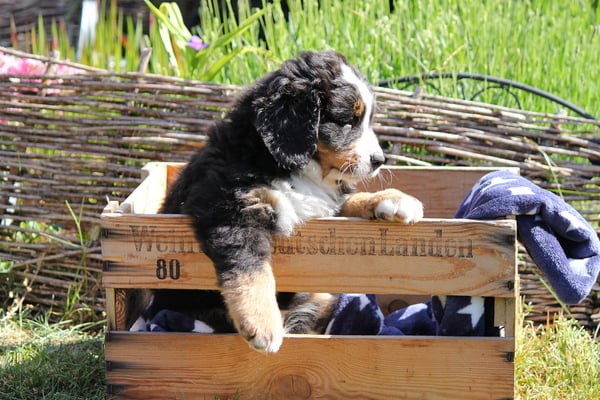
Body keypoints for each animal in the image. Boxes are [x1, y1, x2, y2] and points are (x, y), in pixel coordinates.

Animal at [154, 51, 423, 353]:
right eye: (346, 121)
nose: (379, 160)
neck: (295, 169)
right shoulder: (230, 209)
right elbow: (250, 267)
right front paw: (262, 324)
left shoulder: (325, 207)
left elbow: (352, 199)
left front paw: (393, 200)